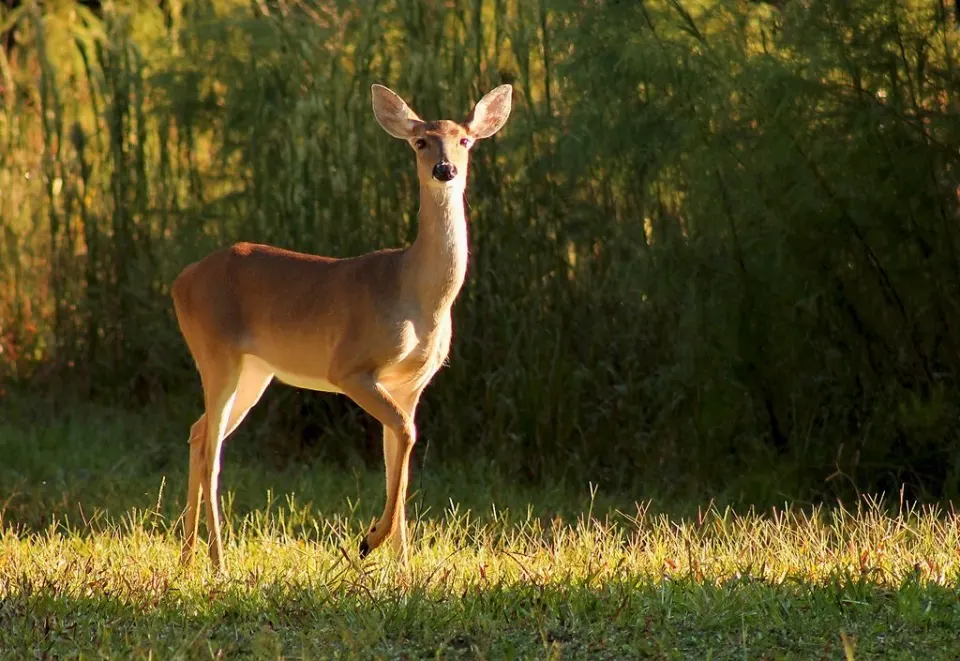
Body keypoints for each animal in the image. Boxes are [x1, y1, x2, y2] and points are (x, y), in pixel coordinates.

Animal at [171, 83, 513, 573]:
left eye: (464, 140)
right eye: (420, 141)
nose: (444, 169)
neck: (416, 293)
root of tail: (181, 281)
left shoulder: (412, 383)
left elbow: (398, 456)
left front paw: (403, 567)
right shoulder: (350, 368)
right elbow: (406, 436)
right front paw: (370, 540)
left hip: (255, 370)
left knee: (199, 432)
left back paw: (187, 558)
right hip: (216, 354)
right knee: (211, 451)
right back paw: (218, 563)